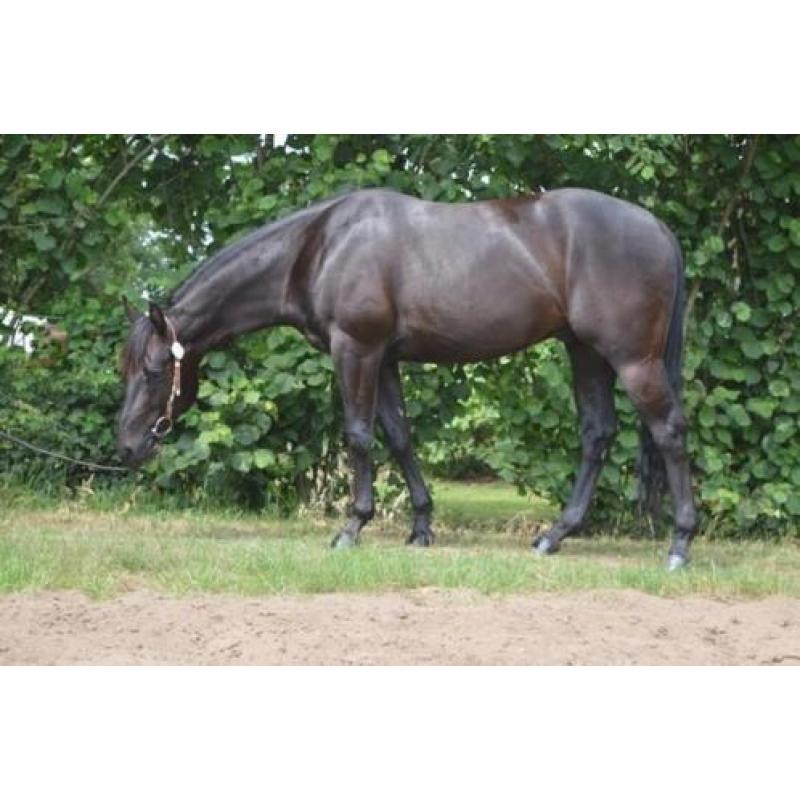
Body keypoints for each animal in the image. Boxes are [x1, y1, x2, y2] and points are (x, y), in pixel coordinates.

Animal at [118, 187, 697, 570]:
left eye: (154, 371)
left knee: (669, 432)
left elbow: (358, 435)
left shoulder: (355, 349)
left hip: (631, 360)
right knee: (597, 434)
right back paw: (554, 536)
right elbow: (398, 436)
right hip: (585, 353)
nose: (126, 447)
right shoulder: (386, 359)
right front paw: (420, 528)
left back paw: (679, 545)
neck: (321, 246)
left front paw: (352, 527)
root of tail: (659, 228)